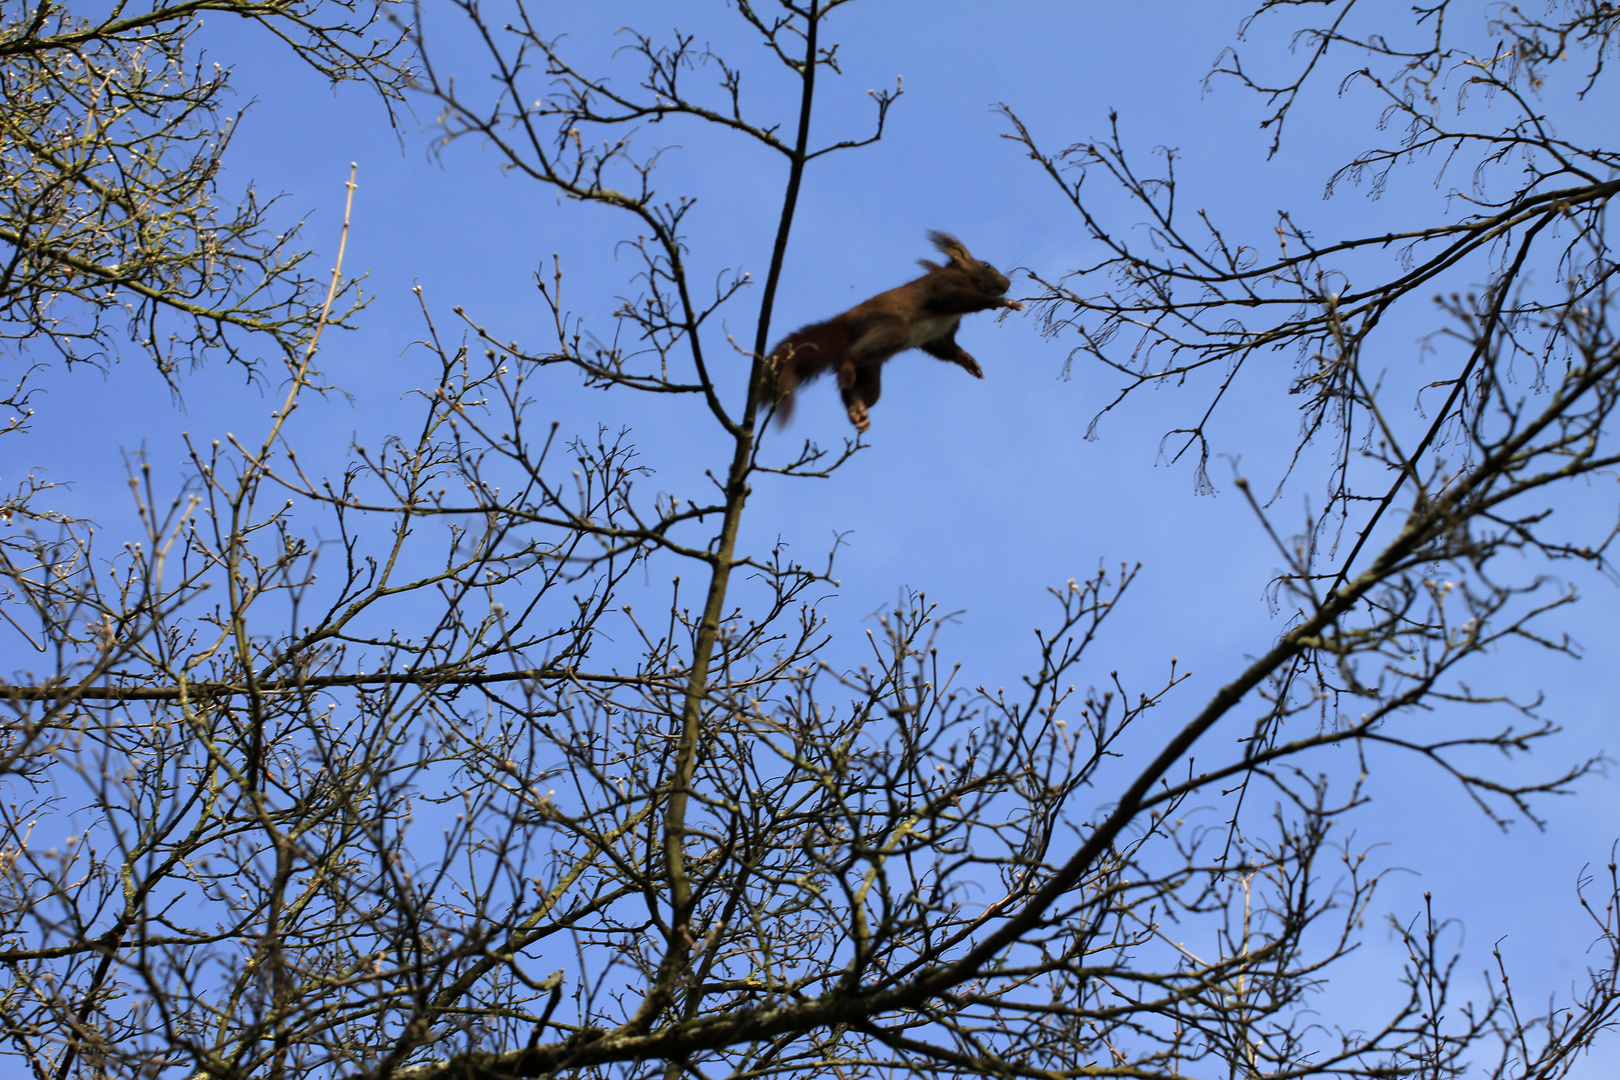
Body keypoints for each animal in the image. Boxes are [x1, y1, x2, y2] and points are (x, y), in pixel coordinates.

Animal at [764, 231, 1017, 430]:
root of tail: (843, 324)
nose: (1007, 284)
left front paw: (969, 362)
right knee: (851, 355)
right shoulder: (944, 288)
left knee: (855, 388)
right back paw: (849, 369)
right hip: (890, 329)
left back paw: (857, 410)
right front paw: (1002, 302)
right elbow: (961, 298)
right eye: (986, 265)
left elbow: (945, 348)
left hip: (869, 373)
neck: (965, 276)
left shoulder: (940, 336)